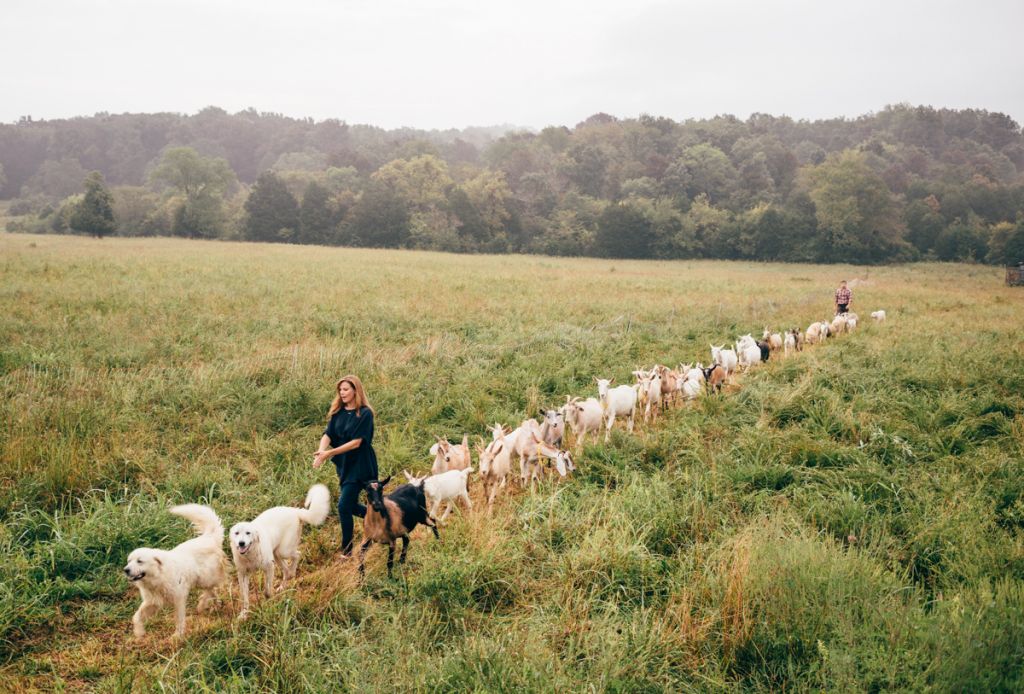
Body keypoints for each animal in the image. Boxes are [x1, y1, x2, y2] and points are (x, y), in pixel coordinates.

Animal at [123, 505, 226, 642]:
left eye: (139, 561)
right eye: (129, 561)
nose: (126, 570)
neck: (158, 577)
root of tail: (209, 537)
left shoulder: (179, 598)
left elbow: (179, 618)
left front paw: (177, 636)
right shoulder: (153, 602)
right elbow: (136, 617)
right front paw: (139, 632)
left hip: (203, 578)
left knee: (210, 588)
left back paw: (202, 604)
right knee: (212, 590)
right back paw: (214, 604)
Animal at [230, 483, 329, 618]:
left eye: (248, 533)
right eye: (236, 533)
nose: (241, 543)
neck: (250, 555)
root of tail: (295, 510)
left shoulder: (269, 568)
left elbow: (267, 590)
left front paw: (269, 601)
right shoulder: (243, 574)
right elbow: (244, 597)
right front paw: (244, 614)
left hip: (283, 551)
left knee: (297, 555)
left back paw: (292, 573)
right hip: (276, 554)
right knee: (286, 570)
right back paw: (283, 585)